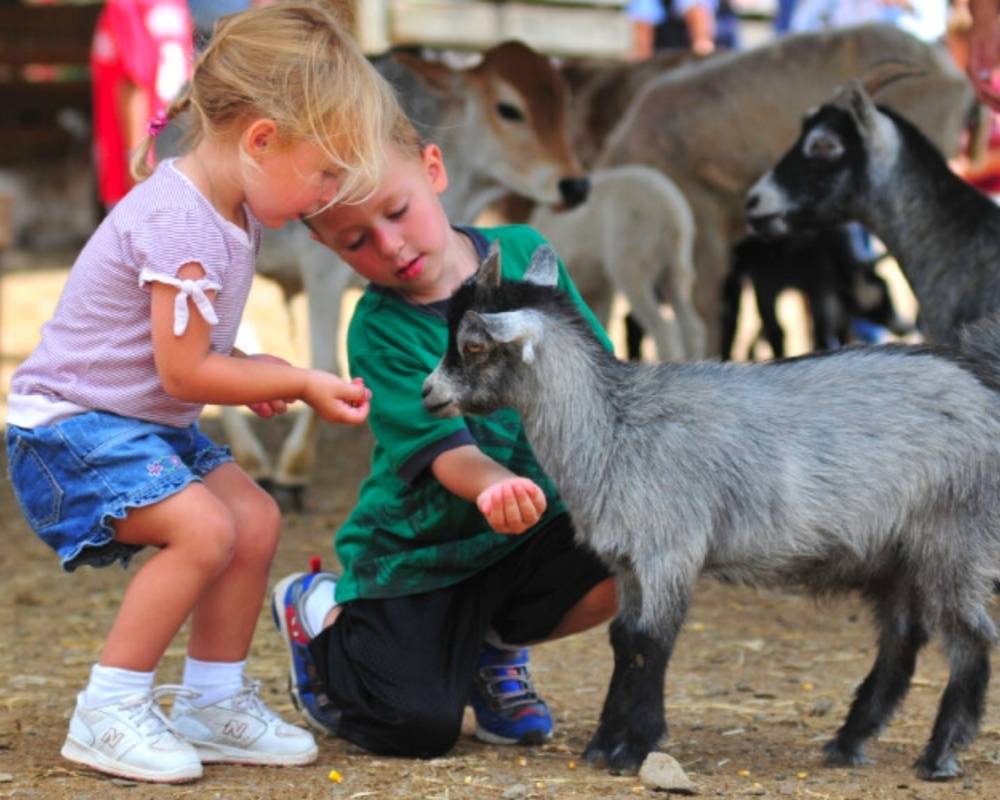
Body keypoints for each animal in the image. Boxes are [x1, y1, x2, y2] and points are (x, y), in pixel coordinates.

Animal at [426, 244, 1000, 780]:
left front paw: (636, 748)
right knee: (902, 641)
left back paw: (938, 755)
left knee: (970, 639)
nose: (429, 393)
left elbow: (651, 643)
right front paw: (602, 744)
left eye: (474, 344)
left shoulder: (670, 550)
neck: (614, 429)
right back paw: (848, 742)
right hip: (896, 553)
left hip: (954, 535)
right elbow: (623, 640)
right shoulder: (628, 563)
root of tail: (981, 389)